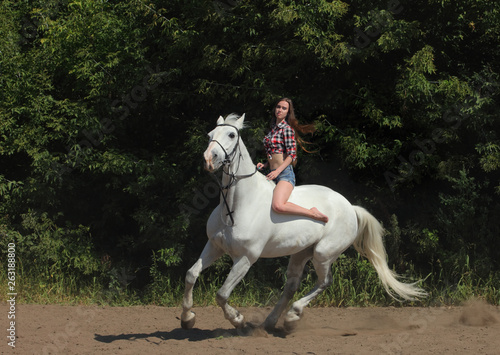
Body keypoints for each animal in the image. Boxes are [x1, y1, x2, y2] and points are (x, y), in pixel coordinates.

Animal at [180, 113, 426, 330]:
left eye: (231, 134)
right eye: (210, 134)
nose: (209, 159)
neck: (235, 207)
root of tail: (350, 208)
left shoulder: (246, 258)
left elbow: (221, 294)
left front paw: (238, 320)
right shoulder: (214, 246)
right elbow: (191, 275)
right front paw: (187, 318)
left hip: (323, 254)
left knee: (324, 282)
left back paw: (292, 316)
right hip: (300, 252)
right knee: (291, 286)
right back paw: (271, 322)